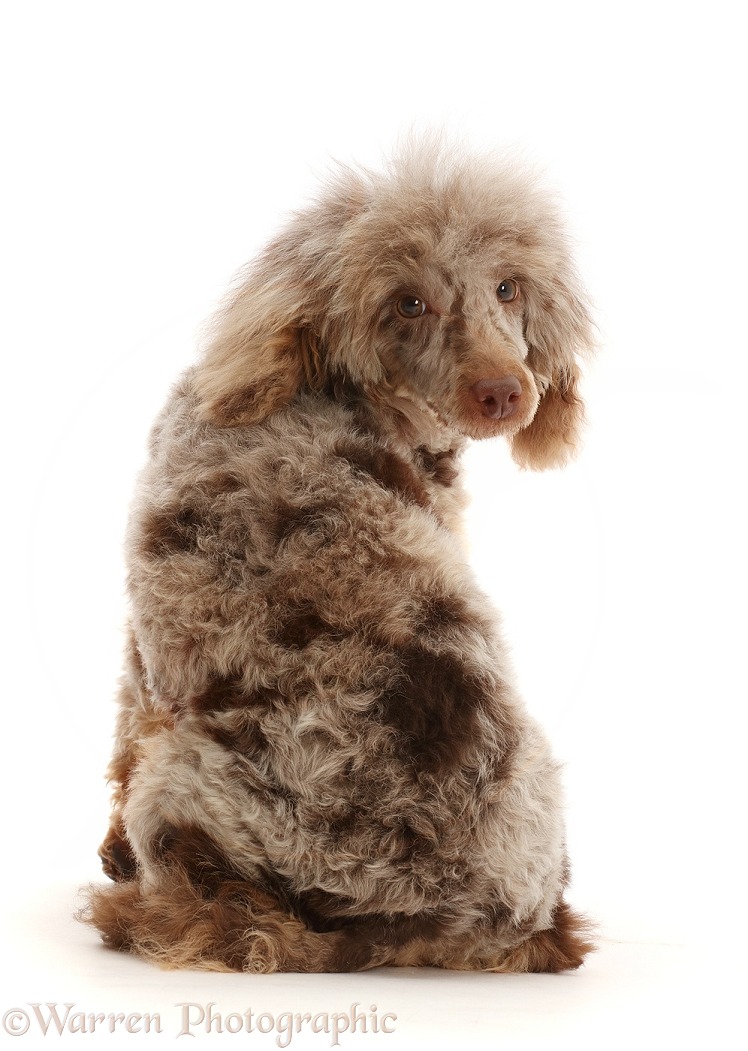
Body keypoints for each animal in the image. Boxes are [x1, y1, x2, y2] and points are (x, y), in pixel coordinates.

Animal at [83, 143, 596, 971]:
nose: (505, 392)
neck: (316, 391)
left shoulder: (148, 647)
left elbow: (124, 731)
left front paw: (111, 851)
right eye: (408, 304)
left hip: (181, 775)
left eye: (508, 287)